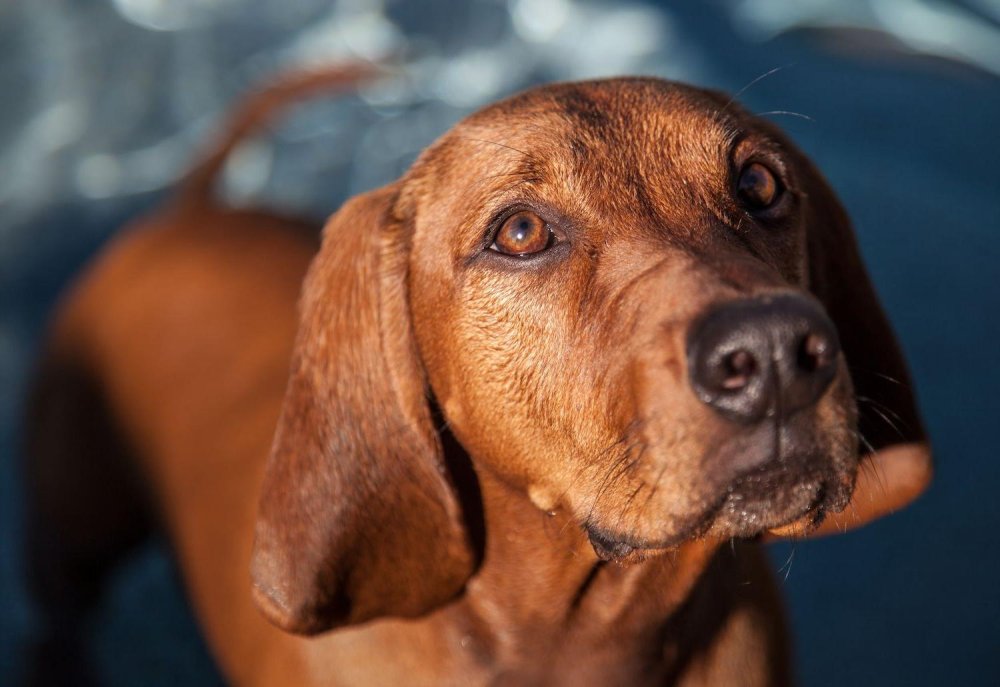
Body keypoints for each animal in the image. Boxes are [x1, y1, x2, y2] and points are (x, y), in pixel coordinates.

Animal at [23, 66, 928, 687]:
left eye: (761, 183)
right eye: (520, 232)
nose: (773, 352)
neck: (584, 637)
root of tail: (191, 210)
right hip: (75, 520)